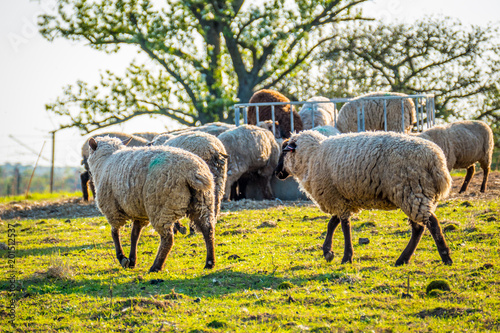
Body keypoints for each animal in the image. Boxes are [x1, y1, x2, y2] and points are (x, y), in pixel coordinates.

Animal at [87, 136, 216, 272]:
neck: (105, 161)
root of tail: (193, 171)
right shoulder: (139, 213)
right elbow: (134, 235)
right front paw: (132, 260)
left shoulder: (112, 209)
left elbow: (114, 233)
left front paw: (122, 258)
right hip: (204, 203)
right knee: (208, 230)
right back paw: (209, 263)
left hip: (160, 207)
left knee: (168, 238)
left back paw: (156, 266)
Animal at [276, 129, 456, 264]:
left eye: (283, 152)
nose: (277, 173)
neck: (311, 157)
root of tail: (438, 162)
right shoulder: (341, 198)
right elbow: (332, 223)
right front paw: (328, 252)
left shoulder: (335, 197)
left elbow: (344, 226)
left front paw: (346, 257)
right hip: (415, 193)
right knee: (419, 227)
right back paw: (403, 260)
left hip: (411, 191)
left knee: (431, 223)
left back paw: (446, 257)